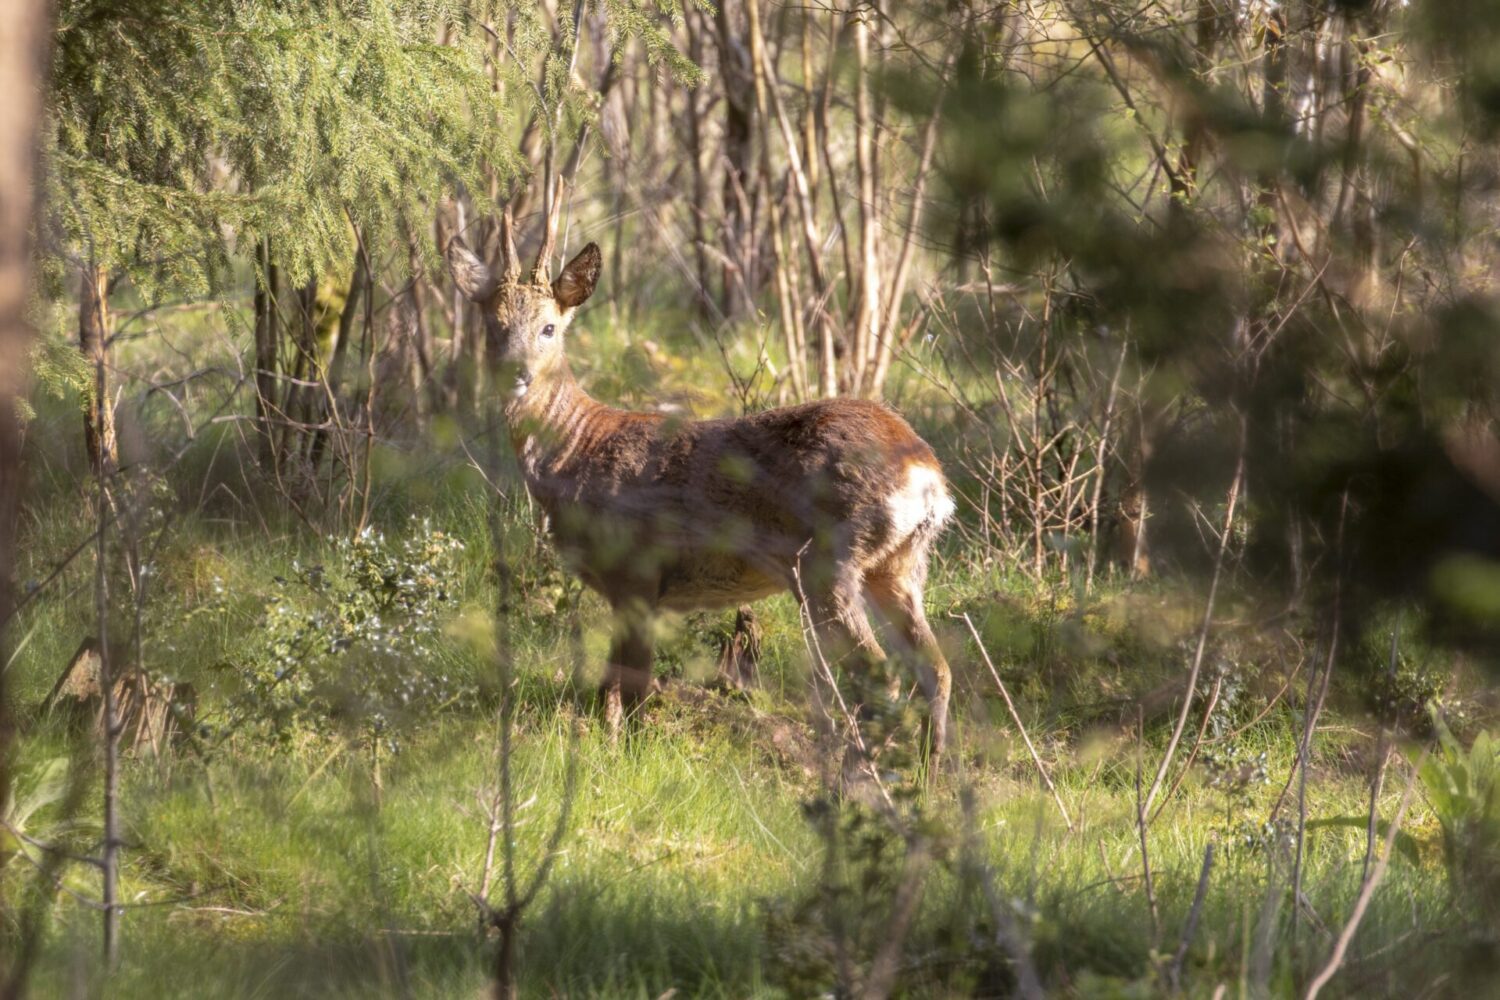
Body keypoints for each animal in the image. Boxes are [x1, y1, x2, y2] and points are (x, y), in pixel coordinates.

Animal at [447, 217, 960, 758]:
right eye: (493, 326)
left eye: (548, 327)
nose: (516, 373)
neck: (578, 446)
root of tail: (926, 473)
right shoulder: (625, 588)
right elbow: (610, 684)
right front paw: (610, 746)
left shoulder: (637, 568)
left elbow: (633, 685)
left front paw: (631, 756)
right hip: (899, 565)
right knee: (936, 668)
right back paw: (930, 767)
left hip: (827, 559)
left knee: (881, 673)